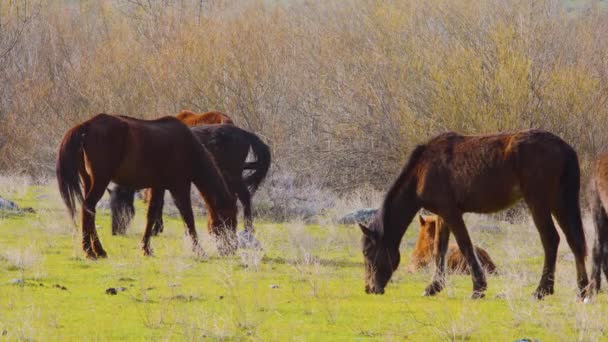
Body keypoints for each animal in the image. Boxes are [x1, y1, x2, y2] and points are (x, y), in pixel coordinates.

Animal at [56, 113, 238, 258]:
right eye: (229, 220)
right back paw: (90, 251)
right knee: (88, 208)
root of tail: (87, 125)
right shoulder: (180, 186)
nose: (231, 249)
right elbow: (188, 217)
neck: (188, 147)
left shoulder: (158, 187)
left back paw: (97, 250)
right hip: (100, 181)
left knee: (89, 211)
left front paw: (146, 248)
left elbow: (151, 215)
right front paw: (199, 250)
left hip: (89, 181)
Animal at [110, 124, 270, 242]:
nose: (115, 231)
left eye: (120, 206)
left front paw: (157, 229)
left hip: (234, 176)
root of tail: (245, 133)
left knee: (245, 197)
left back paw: (248, 229)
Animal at [360, 128, 588, 300]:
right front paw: (434, 286)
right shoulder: (442, 214)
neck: (423, 170)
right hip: (560, 202)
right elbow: (439, 249)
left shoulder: (451, 213)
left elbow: (465, 245)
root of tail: (564, 148)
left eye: (368, 253)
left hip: (538, 203)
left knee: (551, 240)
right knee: (574, 242)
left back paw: (542, 290)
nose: (369, 288)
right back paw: (583, 290)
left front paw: (478, 288)